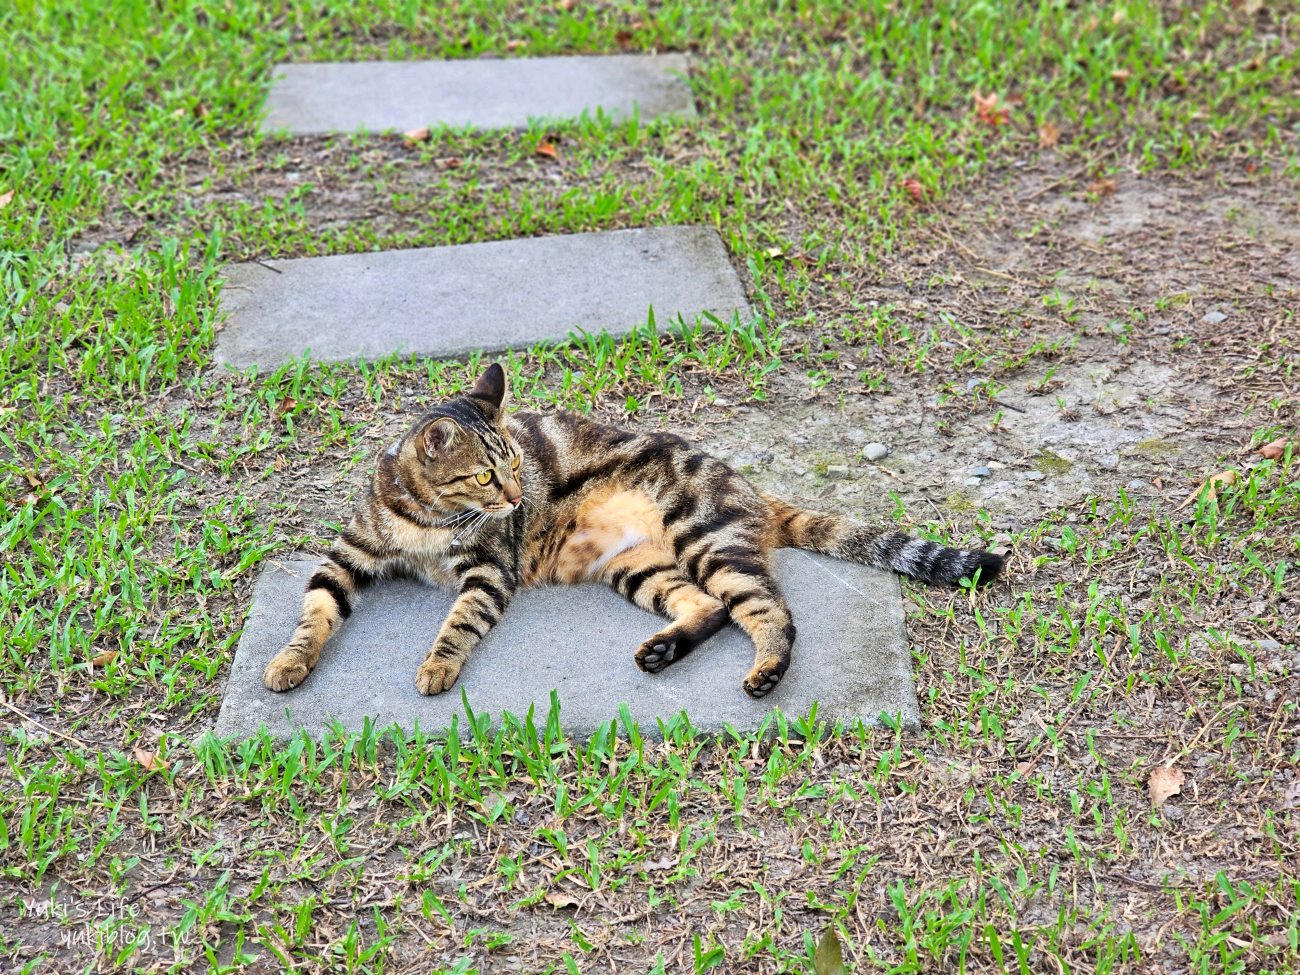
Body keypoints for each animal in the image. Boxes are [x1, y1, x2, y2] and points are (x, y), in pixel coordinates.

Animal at [258, 364, 998, 696]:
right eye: (485, 476)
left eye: (516, 467)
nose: (514, 498)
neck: (428, 524)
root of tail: (751, 488)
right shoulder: (345, 557)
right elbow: (312, 615)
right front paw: (290, 661)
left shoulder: (487, 570)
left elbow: (458, 622)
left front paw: (438, 663)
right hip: (638, 566)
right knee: (706, 608)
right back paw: (663, 651)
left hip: (707, 539)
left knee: (770, 613)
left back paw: (764, 670)